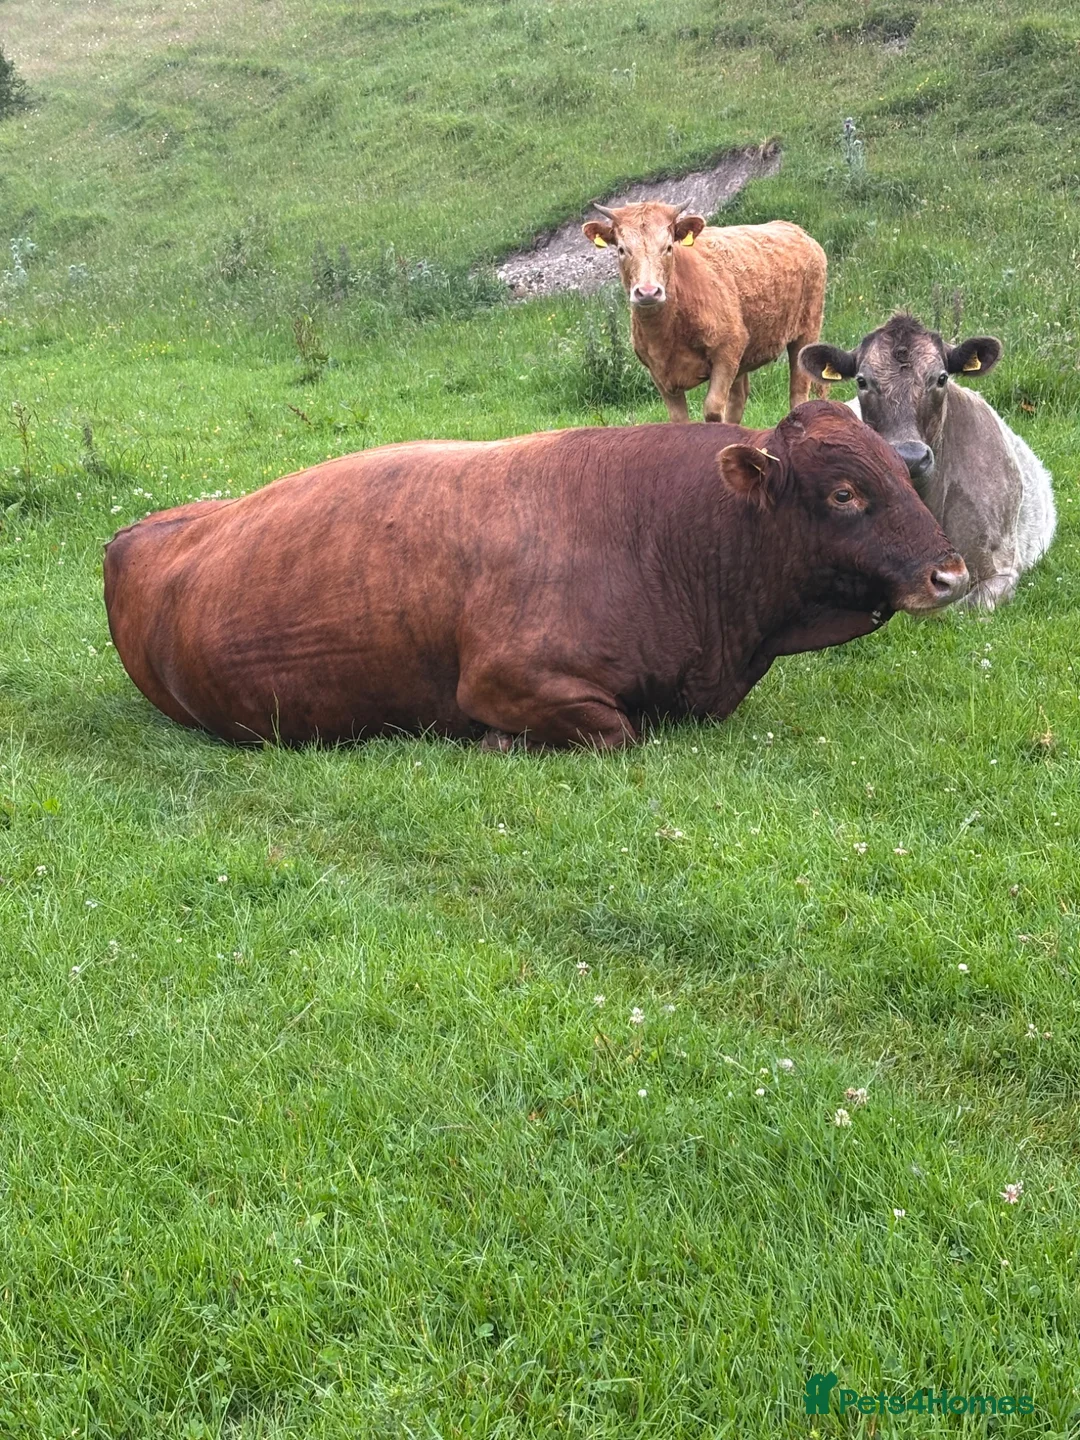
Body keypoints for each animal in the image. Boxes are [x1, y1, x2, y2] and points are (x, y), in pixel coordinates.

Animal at [104, 401, 967, 750]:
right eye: (845, 493)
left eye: (904, 470)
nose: (950, 570)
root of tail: (137, 531)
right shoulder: (506, 679)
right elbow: (617, 732)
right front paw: (496, 744)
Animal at [581, 202, 827, 424]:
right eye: (622, 250)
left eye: (668, 247)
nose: (648, 291)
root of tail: (795, 229)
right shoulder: (657, 371)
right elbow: (680, 419)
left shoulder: (727, 351)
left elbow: (713, 410)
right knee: (739, 399)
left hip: (807, 332)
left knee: (800, 393)